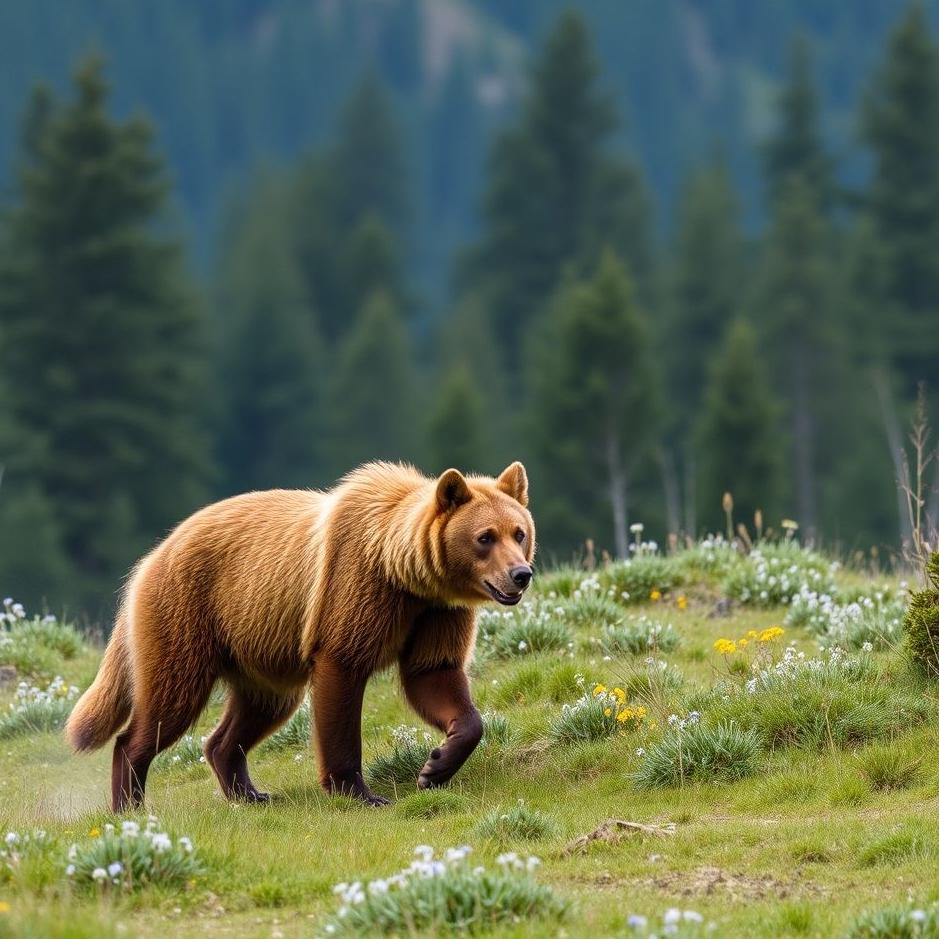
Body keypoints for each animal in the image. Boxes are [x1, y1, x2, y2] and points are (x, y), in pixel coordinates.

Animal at [65, 460, 535, 811]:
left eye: (519, 532)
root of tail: (150, 557)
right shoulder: (357, 593)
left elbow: (435, 676)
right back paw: (130, 802)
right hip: (185, 614)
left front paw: (435, 765)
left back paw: (250, 792)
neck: (403, 571)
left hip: (256, 646)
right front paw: (360, 791)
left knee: (258, 710)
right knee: (169, 699)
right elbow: (341, 681)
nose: (521, 574)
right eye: (485, 537)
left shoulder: (434, 614)